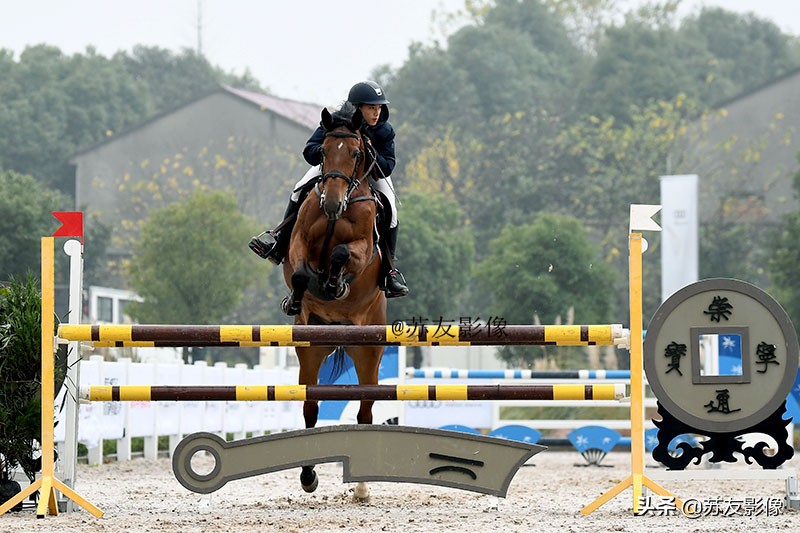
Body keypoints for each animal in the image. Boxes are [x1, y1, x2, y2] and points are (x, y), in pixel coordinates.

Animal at [282, 105, 388, 498]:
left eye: (357, 153)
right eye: (324, 152)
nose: (331, 203)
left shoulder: (362, 249)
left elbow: (343, 253)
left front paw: (335, 283)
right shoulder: (298, 241)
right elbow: (300, 272)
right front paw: (301, 294)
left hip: (369, 352)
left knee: (365, 413)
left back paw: (362, 488)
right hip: (310, 349)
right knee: (311, 407)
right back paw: (308, 475)